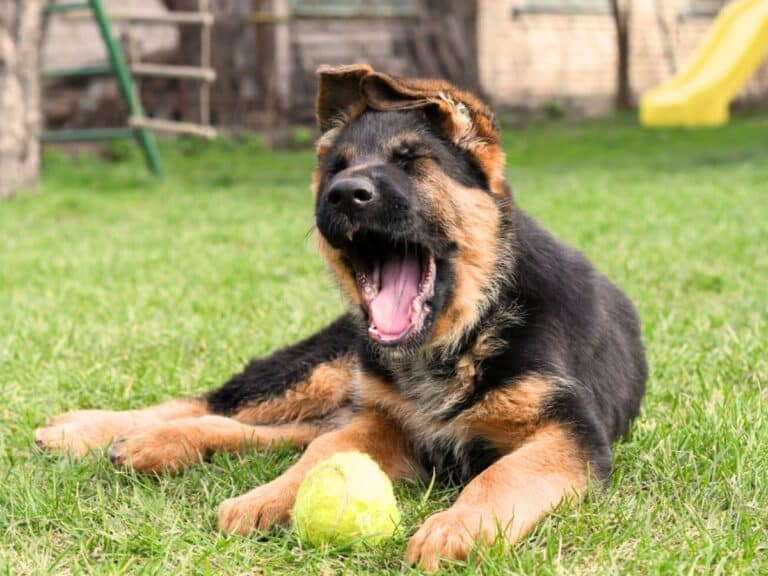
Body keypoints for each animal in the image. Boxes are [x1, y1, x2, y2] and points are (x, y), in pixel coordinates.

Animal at [37, 65, 648, 568]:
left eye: (412, 161)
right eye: (337, 168)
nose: (343, 194)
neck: (470, 325)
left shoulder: (571, 436)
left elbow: (504, 473)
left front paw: (457, 527)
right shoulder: (384, 420)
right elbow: (325, 452)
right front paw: (270, 498)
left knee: (258, 427)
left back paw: (153, 444)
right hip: (327, 368)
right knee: (221, 404)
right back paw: (88, 430)